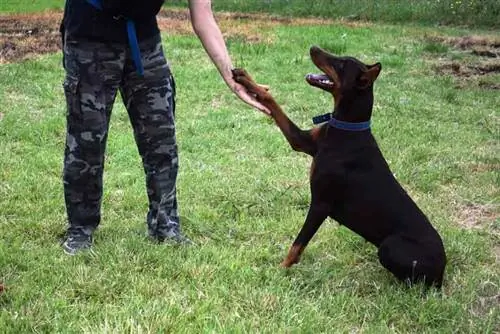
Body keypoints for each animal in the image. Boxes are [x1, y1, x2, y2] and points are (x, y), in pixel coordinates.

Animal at [232, 45, 448, 288]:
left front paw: (280, 270)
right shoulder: (302, 141)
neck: (347, 128)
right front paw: (245, 78)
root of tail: (442, 270)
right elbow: (271, 101)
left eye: (342, 64)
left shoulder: (321, 203)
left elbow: (298, 244)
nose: (313, 47)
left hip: (389, 247)